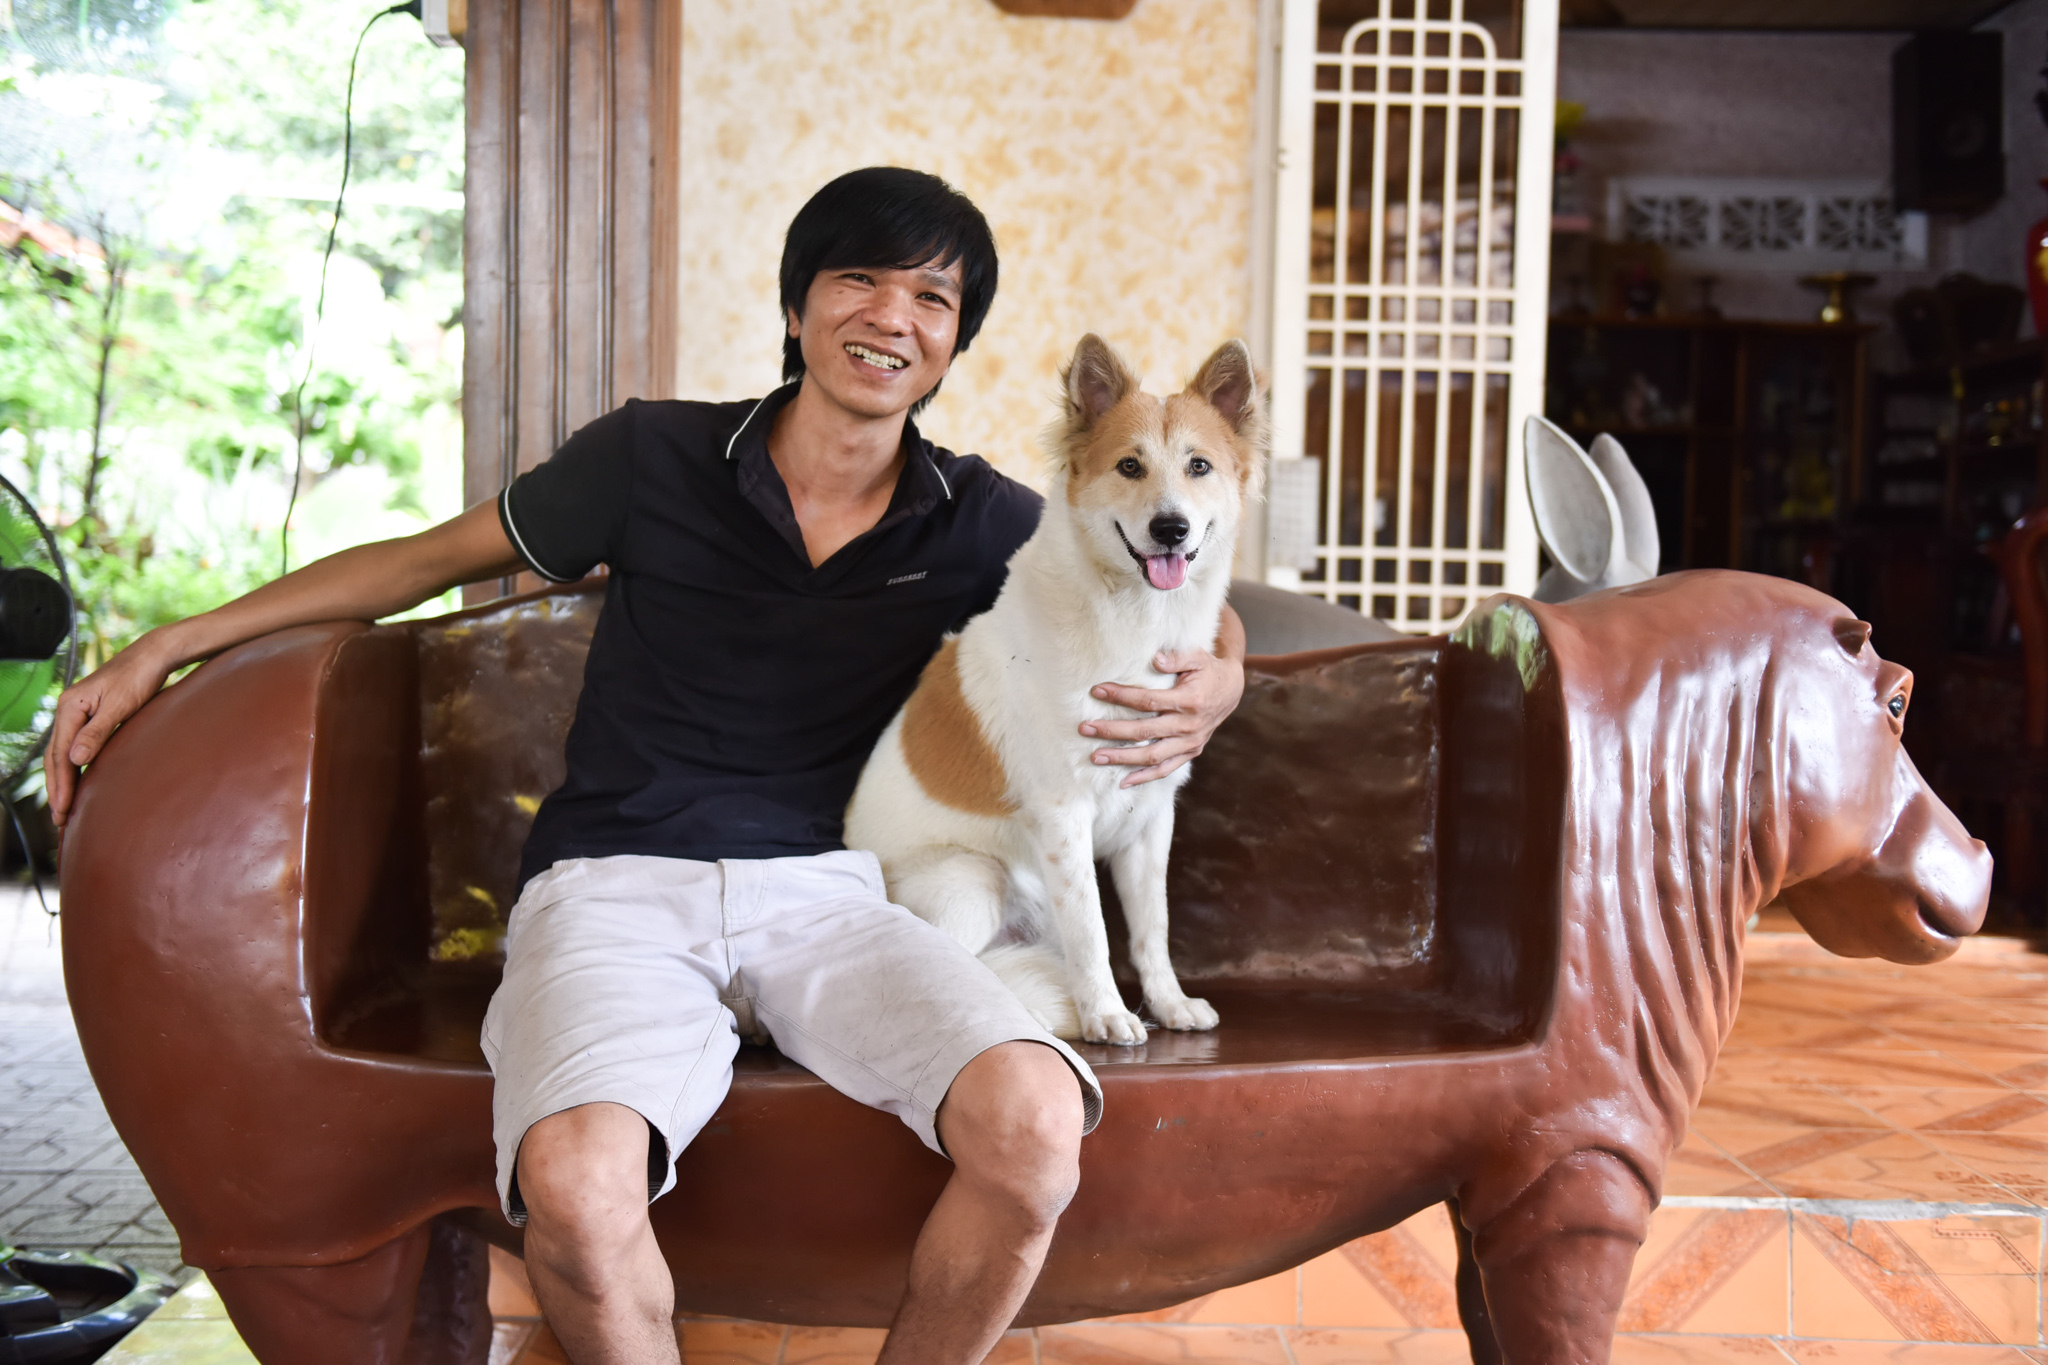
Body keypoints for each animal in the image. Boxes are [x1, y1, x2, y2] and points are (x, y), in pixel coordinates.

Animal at [843, 335, 1261, 1039]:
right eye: (1129, 466)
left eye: (1199, 466)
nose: (1171, 528)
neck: (1133, 620)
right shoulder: (1064, 816)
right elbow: (1092, 930)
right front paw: (1107, 1015)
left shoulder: (1151, 823)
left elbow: (1151, 929)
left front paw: (1170, 1003)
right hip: (972, 878)